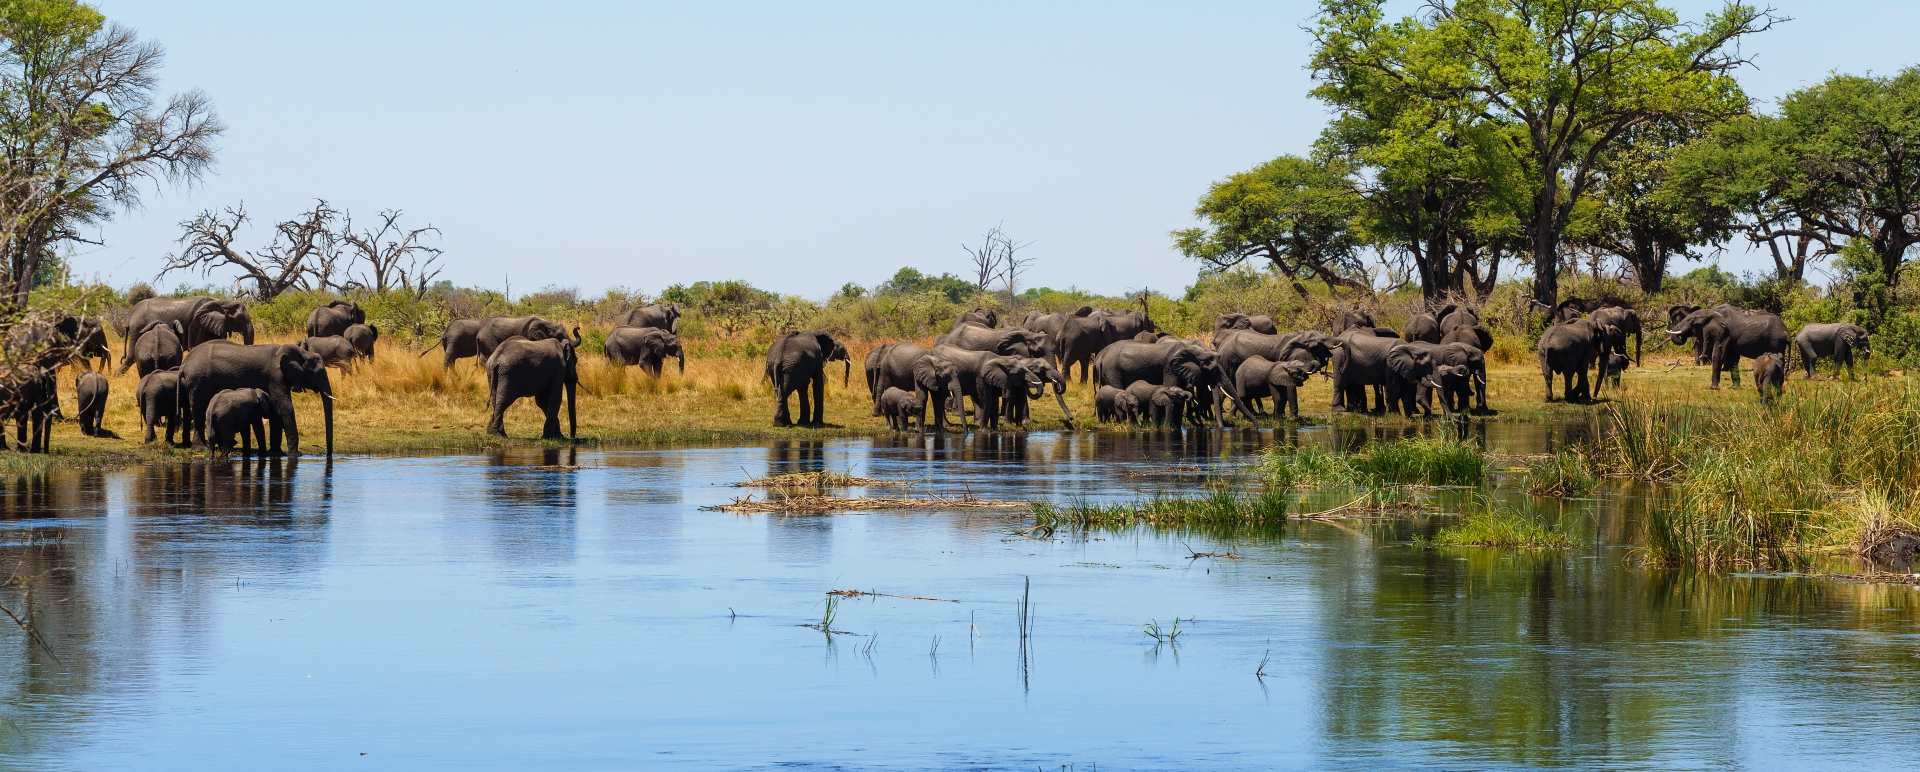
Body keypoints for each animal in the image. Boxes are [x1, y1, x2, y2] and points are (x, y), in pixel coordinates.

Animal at [119, 296, 254, 371]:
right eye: (241, 319)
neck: (222, 302)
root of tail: (130, 316)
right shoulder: (197, 323)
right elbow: (195, 346)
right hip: (137, 329)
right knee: (130, 358)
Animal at [179, 343, 335, 458]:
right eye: (319, 373)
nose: (328, 454)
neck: (302, 353)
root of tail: (185, 364)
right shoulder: (275, 377)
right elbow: (285, 407)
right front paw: (295, 455)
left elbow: (276, 411)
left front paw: (277, 453)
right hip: (198, 381)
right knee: (198, 410)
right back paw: (200, 448)